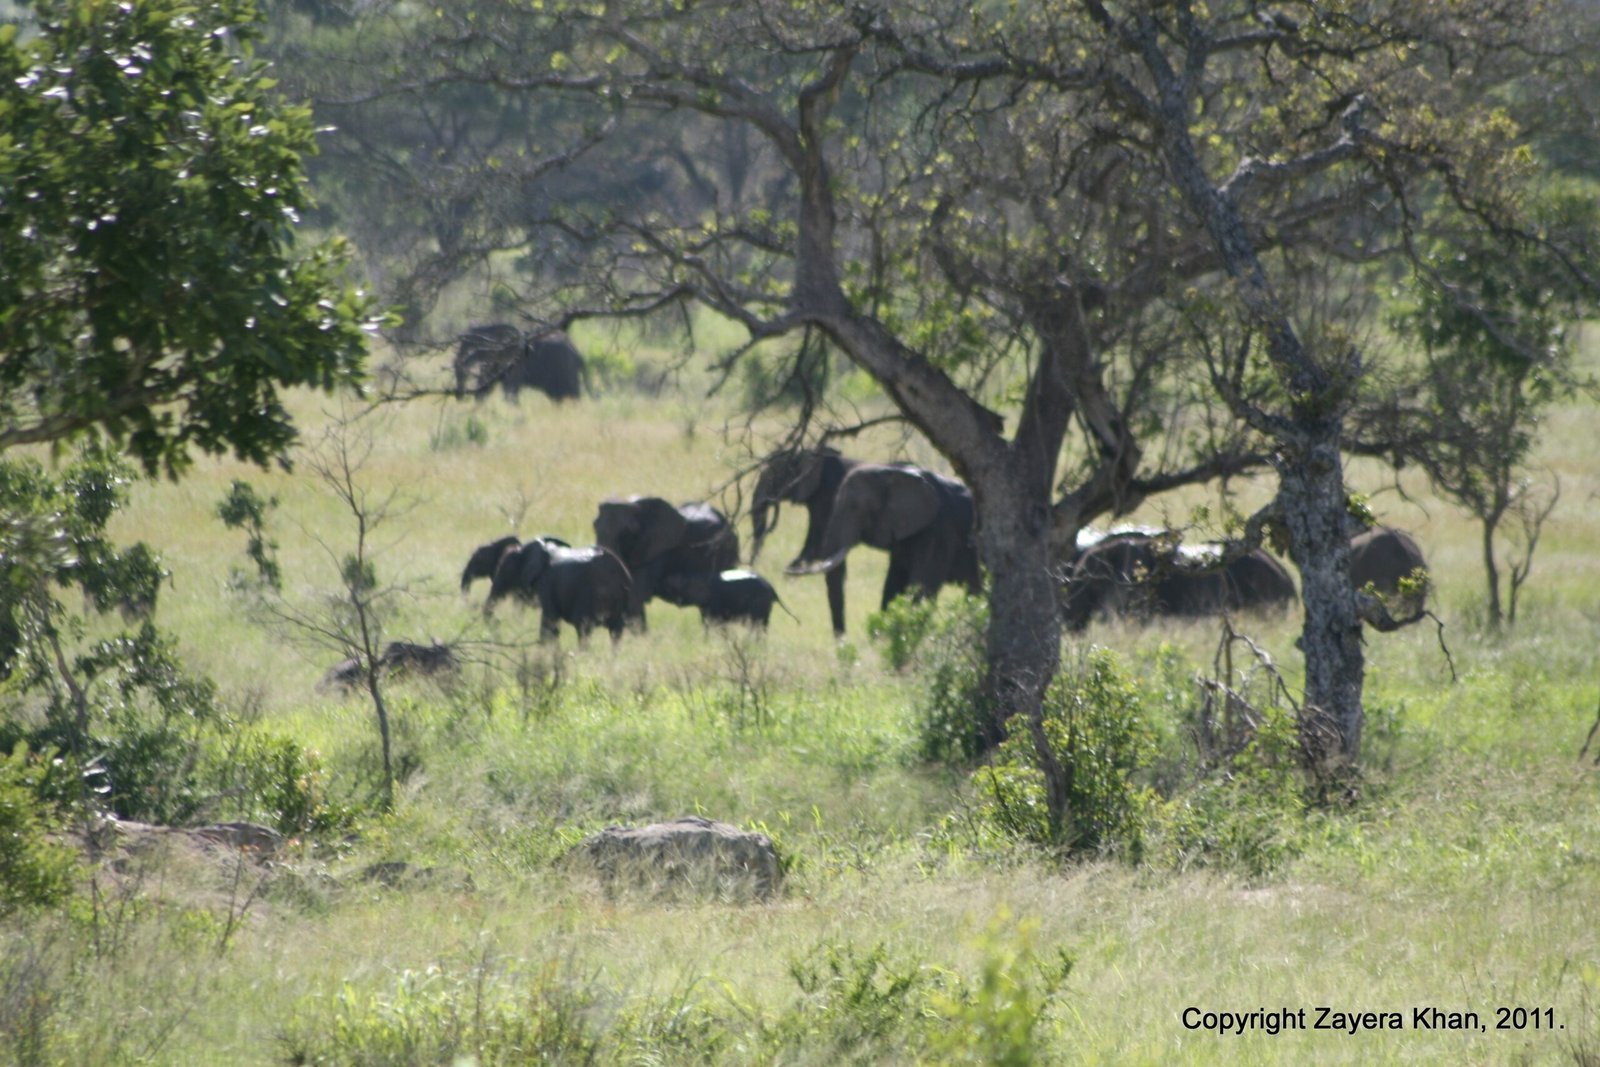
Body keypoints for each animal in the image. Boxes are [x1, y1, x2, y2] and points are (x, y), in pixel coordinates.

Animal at [453, 323, 585, 402]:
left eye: (471, 349)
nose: (459, 397)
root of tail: (577, 353)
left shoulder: (514, 361)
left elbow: (510, 388)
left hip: (565, 368)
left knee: (571, 392)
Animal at [483, 537, 632, 644]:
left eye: (504, 570)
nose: (498, 621)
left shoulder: (546, 582)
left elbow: (549, 624)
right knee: (616, 633)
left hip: (590, 595)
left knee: (583, 630)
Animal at [786, 462, 982, 622]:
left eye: (855, 506)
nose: (841, 639)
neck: (895, 472)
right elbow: (893, 585)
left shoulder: (939, 530)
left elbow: (921, 587)